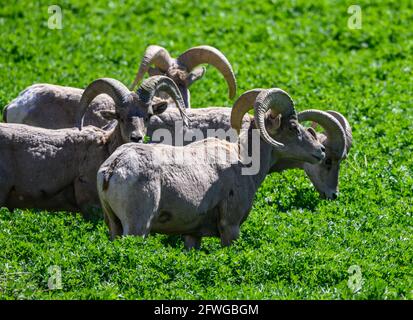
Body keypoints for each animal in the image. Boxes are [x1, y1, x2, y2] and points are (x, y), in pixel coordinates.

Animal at [0, 76, 185, 219]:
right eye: (120, 116)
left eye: (148, 116)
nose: (136, 137)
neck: (106, 149)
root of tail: (11, 105)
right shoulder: (91, 207)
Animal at [96, 87, 326, 248]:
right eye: (293, 127)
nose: (321, 150)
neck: (244, 161)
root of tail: (112, 169)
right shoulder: (231, 227)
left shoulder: (192, 235)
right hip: (137, 228)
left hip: (114, 227)